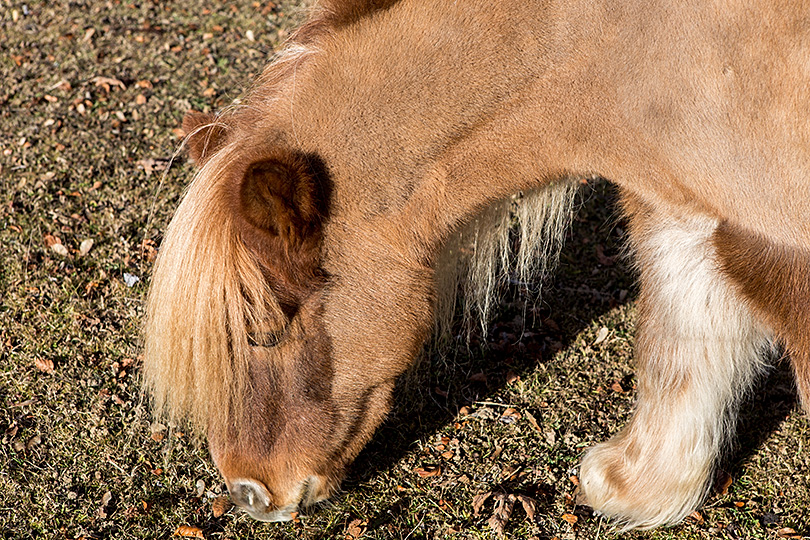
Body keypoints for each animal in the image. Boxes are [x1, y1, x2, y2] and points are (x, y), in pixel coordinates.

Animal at [145, 0, 808, 532]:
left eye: (263, 332)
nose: (249, 493)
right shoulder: (685, 203)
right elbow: (683, 341)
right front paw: (638, 490)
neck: (616, 46)